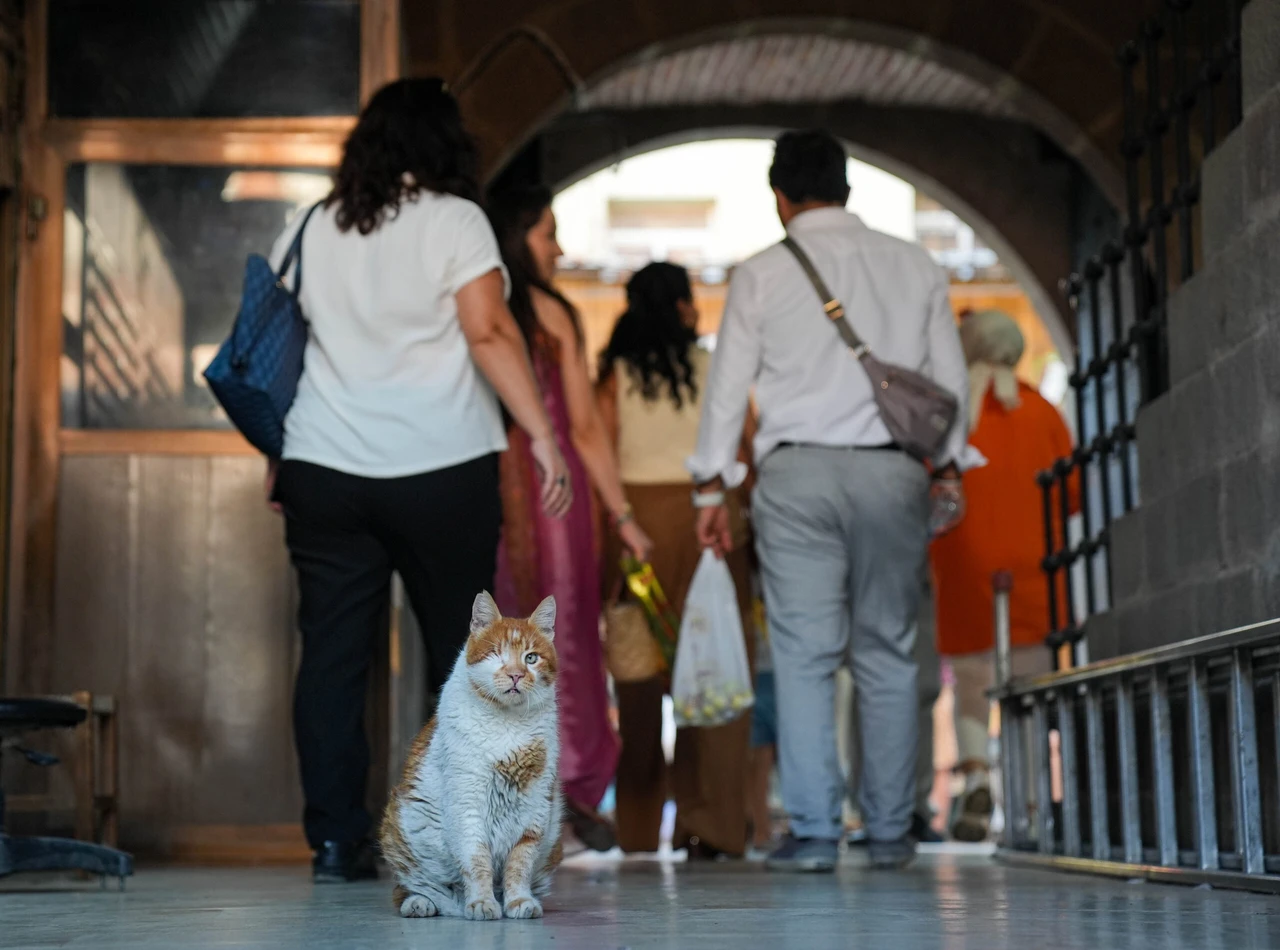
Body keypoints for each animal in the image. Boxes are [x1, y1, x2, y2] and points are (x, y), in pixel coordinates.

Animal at [376, 591, 563, 916]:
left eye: (531, 658)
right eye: (497, 655)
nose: (516, 675)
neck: (507, 725)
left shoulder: (535, 808)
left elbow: (520, 864)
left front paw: (518, 901)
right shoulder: (467, 805)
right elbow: (477, 861)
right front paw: (482, 902)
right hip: (398, 829)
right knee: (412, 886)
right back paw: (422, 903)